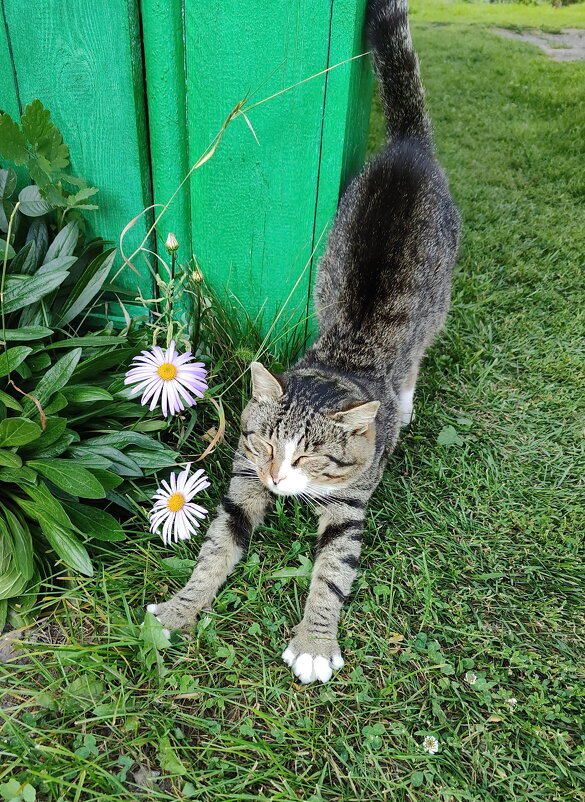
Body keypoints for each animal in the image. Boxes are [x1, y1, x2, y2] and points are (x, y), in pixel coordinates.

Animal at [145, 0, 456, 680]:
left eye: (311, 457)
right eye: (264, 443)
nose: (279, 478)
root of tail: (407, 146)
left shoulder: (349, 506)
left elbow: (332, 574)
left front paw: (314, 645)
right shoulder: (241, 477)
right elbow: (216, 550)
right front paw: (180, 608)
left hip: (439, 297)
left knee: (417, 353)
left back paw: (406, 401)